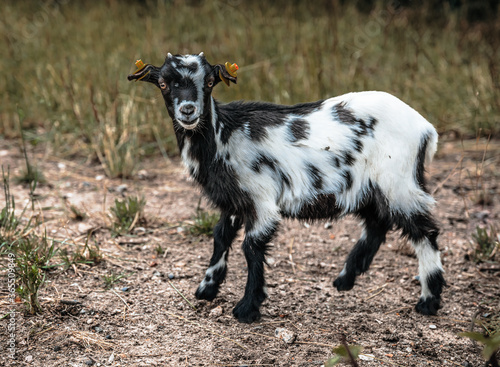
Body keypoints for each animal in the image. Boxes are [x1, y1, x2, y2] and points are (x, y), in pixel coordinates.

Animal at [128, 53, 446, 324]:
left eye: (208, 82)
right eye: (163, 83)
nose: (188, 110)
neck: (224, 136)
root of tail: (427, 129)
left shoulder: (261, 199)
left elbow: (251, 246)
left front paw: (248, 307)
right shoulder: (234, 200)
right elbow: (220, 237)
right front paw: (207, 288)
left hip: (399, 182)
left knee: (425, 232)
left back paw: (429, 300)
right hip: (371, 187)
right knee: (377, 225)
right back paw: (345, 279)